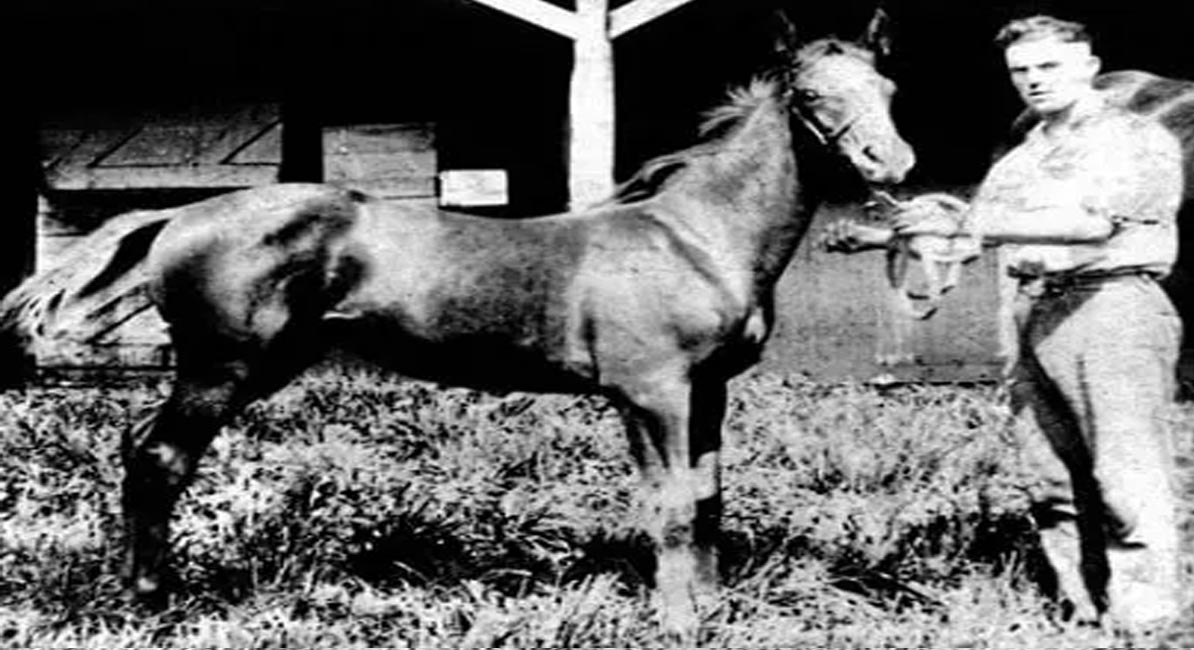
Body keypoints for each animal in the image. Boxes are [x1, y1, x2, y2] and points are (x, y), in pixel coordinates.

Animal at [0, 24, 912, 635]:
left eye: (889, 91)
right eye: (811, 95)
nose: (892, 165)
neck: (691, 235)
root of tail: (179, 213)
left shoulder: (707, 393)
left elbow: (708, 498)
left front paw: (709, 608)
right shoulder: (652, 394)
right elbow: (675, 506)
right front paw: (680, 621)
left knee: (141, 449)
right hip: (221, 370)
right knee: (159, 457)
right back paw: (151, 601)